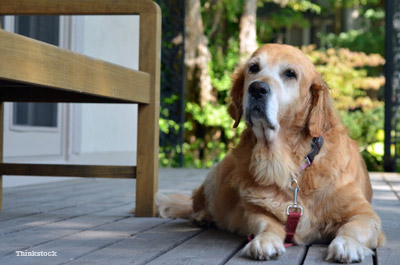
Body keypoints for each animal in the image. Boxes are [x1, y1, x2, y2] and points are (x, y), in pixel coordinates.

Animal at [156, 43, 384, 262]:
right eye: (254, 68)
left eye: (290, 73)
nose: (257, 88)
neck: (283, 162)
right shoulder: (256, 211)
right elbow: (268, 225)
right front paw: (265, 241)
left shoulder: (365, 214)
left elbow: (352, 228)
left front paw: (347, 244)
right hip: (216, 174)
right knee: (198, 200)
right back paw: (201, 216)